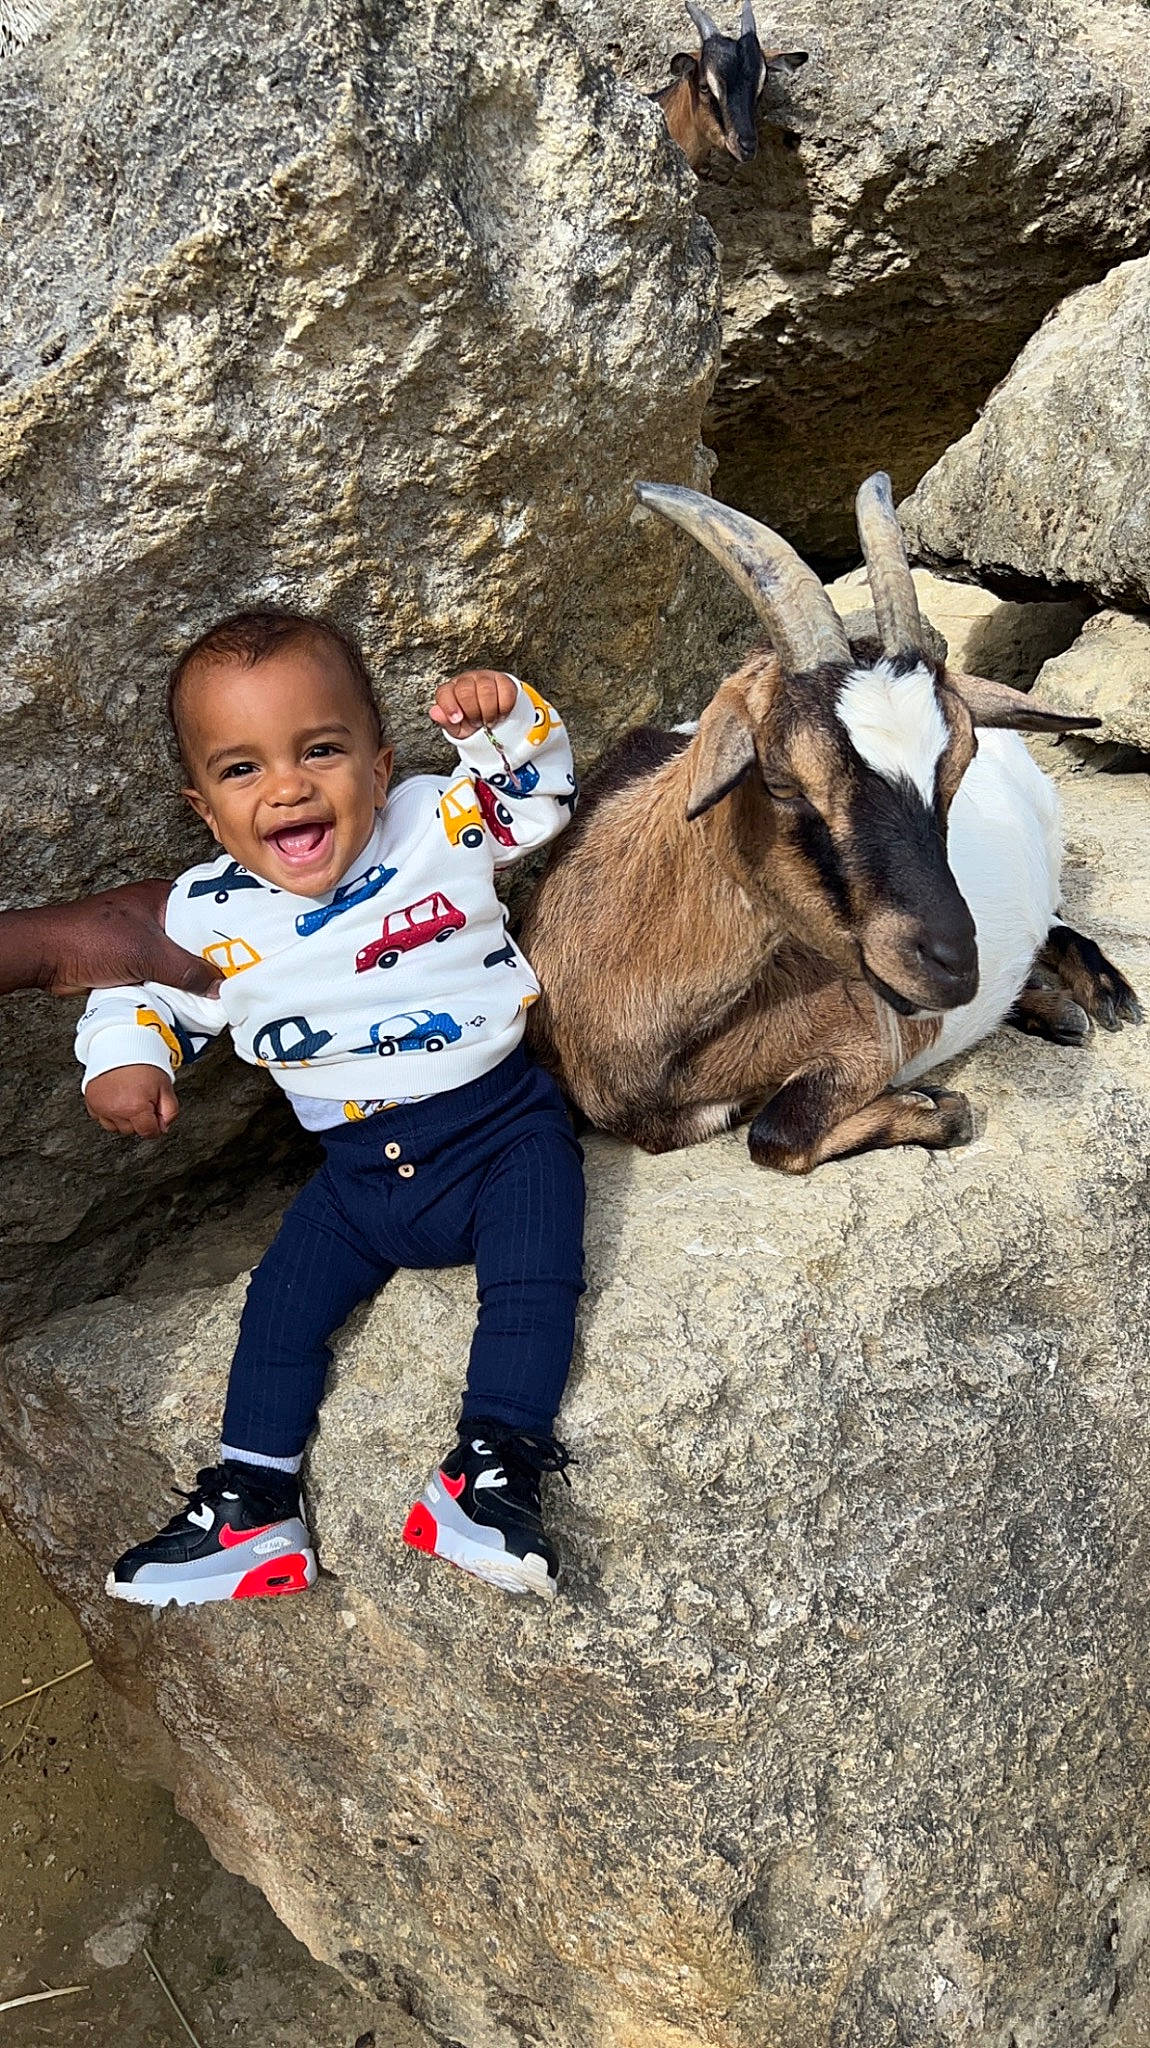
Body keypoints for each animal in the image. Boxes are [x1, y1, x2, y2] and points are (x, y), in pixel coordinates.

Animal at [519, 475, 1141, 1173]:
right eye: (784, 783)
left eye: (958, 766)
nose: (955, 964)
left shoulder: (879, 1029)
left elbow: (774, 1131)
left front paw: (937, 1106)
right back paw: (1049, 1007)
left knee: (1057, 920)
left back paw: (1101, 995)